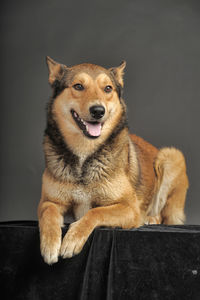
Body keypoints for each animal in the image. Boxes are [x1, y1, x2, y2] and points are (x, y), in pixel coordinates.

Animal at [38, 55, 189, 264]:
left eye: (108, 88)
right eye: (78, 86)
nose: (98, 111)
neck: (85, 155)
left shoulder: (129, 208)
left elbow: (96, 212)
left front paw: (72, 239)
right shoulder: (48, 201)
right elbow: (49, 214)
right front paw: (50, 243)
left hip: (171, 156)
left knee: (162, 215)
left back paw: (150, 218)